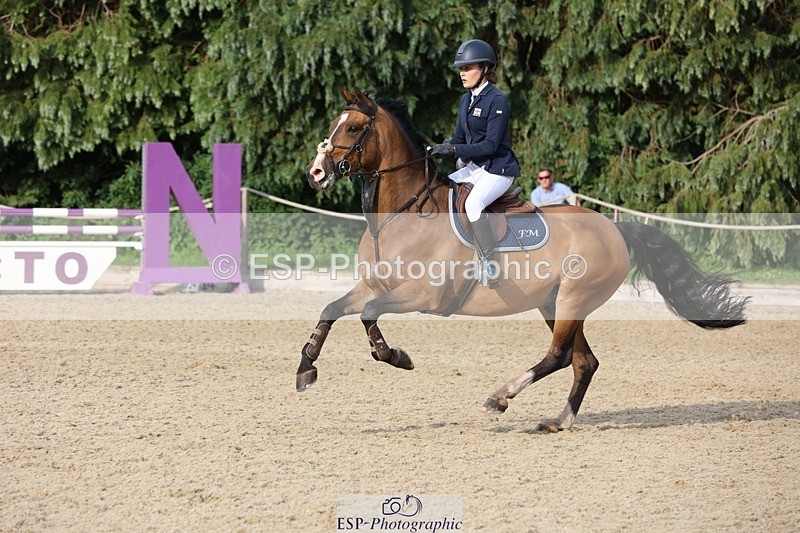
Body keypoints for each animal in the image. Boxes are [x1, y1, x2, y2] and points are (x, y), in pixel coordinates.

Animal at [298, 87, 749, 432]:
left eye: (352, 127)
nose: (316, 173)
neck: (402, 214)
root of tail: (614, 228)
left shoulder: (424, 296)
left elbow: (366, 312)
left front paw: (392, 356)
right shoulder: (376, 285)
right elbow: (336, 309)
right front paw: (309, 367)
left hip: (571, 299)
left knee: (561, 356)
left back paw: (501, 397)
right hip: (554, 303)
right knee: (584, 361)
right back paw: (557, 422)